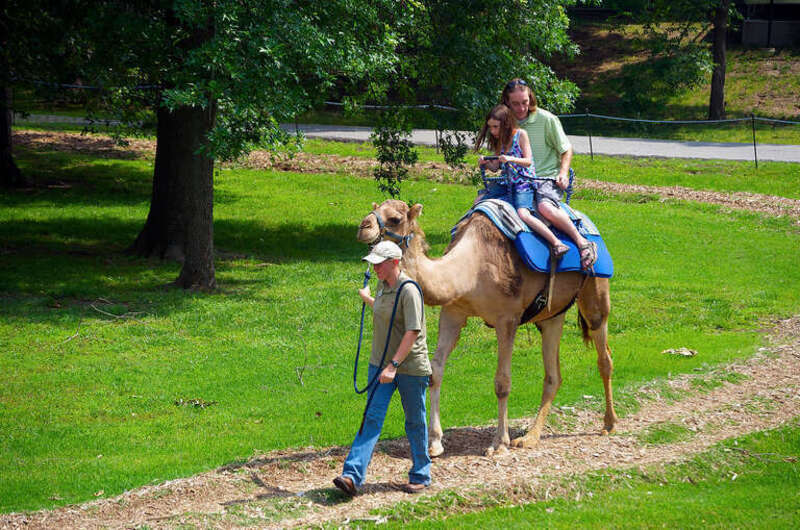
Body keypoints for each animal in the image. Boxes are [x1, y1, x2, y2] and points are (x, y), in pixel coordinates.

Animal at [357, 199, 617, 456]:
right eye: (375, 208)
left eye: (395, 219)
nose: (363, 227)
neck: (471, 268)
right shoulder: (453, 313)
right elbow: (435, 372)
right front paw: (435, 442)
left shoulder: (507, 318)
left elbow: (502, 382)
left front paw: (499, 443)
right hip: (552, 315)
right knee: (554, 374)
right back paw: (530, 437)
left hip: (595, 291)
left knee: (603, 355)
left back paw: (609, 423)